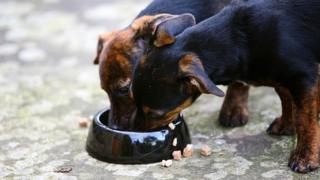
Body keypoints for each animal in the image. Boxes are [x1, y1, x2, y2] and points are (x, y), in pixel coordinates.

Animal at [131, 0, 320, 172]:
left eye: (156, 114)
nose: (136, 131)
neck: (243, 41)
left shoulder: (304, 76)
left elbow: (305, 119)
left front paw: (305, 158)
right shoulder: (282, 77)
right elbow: (286, 97)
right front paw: (286, 125)